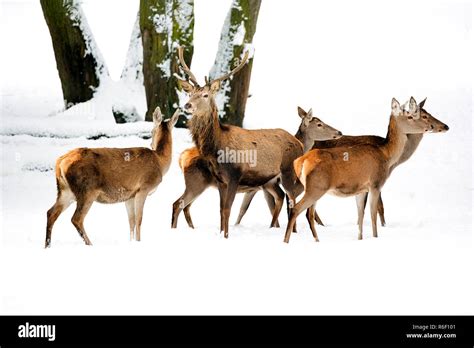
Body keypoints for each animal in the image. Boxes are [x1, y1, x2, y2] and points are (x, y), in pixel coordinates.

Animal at [45, 107, 179, 246]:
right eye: (151, 131)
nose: (150, 143)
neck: (160, 161)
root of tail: (59, 162)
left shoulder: (129, 195)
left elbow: (131, 221)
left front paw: (131, 241)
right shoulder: (143, 188)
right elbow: (139, 220)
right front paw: (138, 241)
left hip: (66, 191)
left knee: (51, 213)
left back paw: (47, 245)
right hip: (86, 189)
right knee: (76, 218)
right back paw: (90, 243)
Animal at [172, 107, 342, 230]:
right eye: (319, 124)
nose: (339, 132)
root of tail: (182, 157)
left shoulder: (262, 186)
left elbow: (245, 208)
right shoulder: (266, 185)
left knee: (186, 206)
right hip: (198, 182)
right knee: (180, 204)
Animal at [178, 47, 308, 238]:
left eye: (205, 95)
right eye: (190, 93)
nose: (187, 105)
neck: (217, 150)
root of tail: (300, 143)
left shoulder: (235, 175)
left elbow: (227, 209)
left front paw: (226, 236)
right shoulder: (220, 180)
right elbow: (220, 210)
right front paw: (221, 233)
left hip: (288, 171)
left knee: (292, 199)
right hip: (271, 180)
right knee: (282, 197)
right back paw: (276, 228)